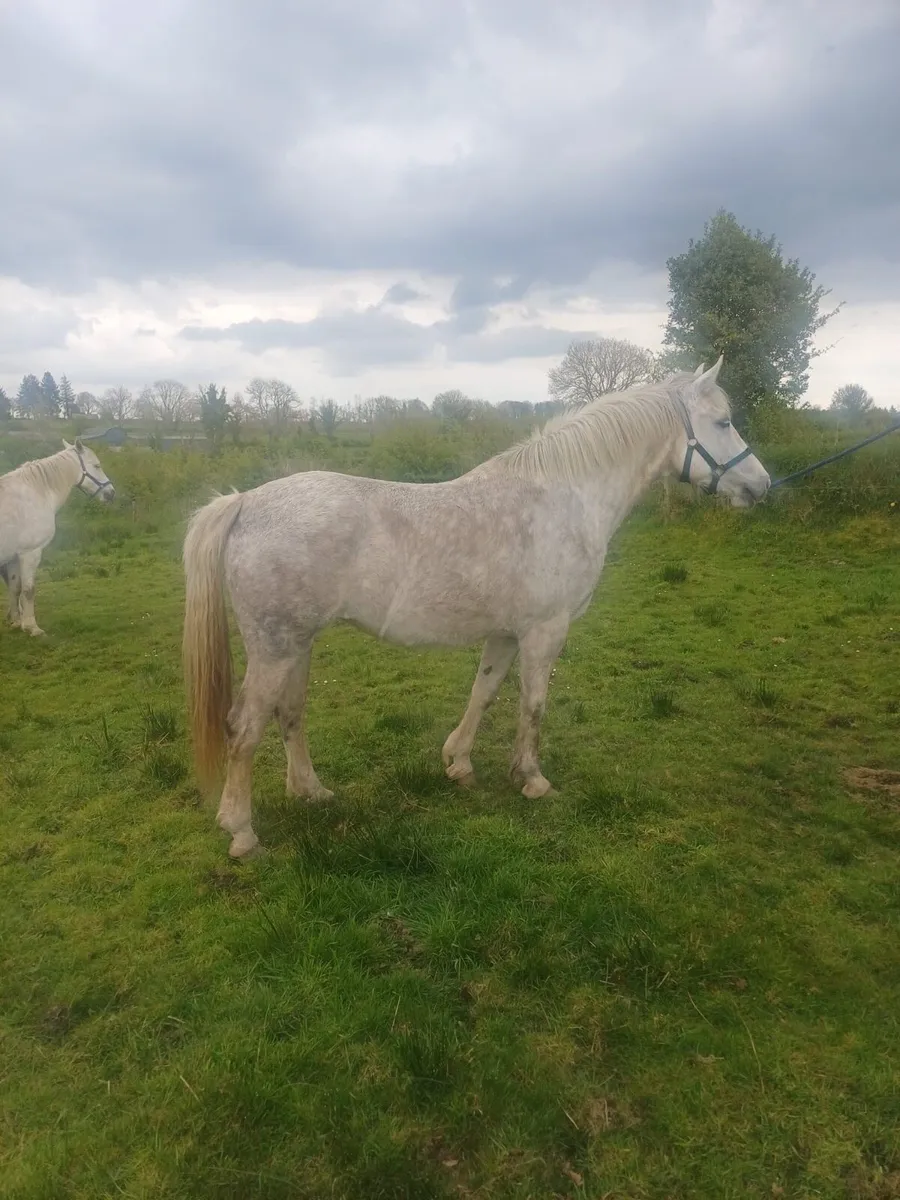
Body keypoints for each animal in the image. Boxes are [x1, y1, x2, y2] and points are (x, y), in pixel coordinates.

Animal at [0, 439, 115, 636]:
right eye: (96, 465)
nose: (111, 492)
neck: (36, 492)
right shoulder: (30, 553)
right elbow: (29, 590)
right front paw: (32, 628)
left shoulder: (14, 556)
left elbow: (15, 588)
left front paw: (16, 622)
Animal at [183, 358, 770, 859]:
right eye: (723, 422)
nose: (761, 486)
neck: (563, 498)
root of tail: (245, 502)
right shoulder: (545, 631)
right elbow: (533, 705)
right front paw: (532, 779)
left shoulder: (506, 633)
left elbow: (483, 693)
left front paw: (459, 763)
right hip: (275, 648)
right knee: (244, 727)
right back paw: (241, 832)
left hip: (298, 644)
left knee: (290, 714)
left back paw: (312, 791)